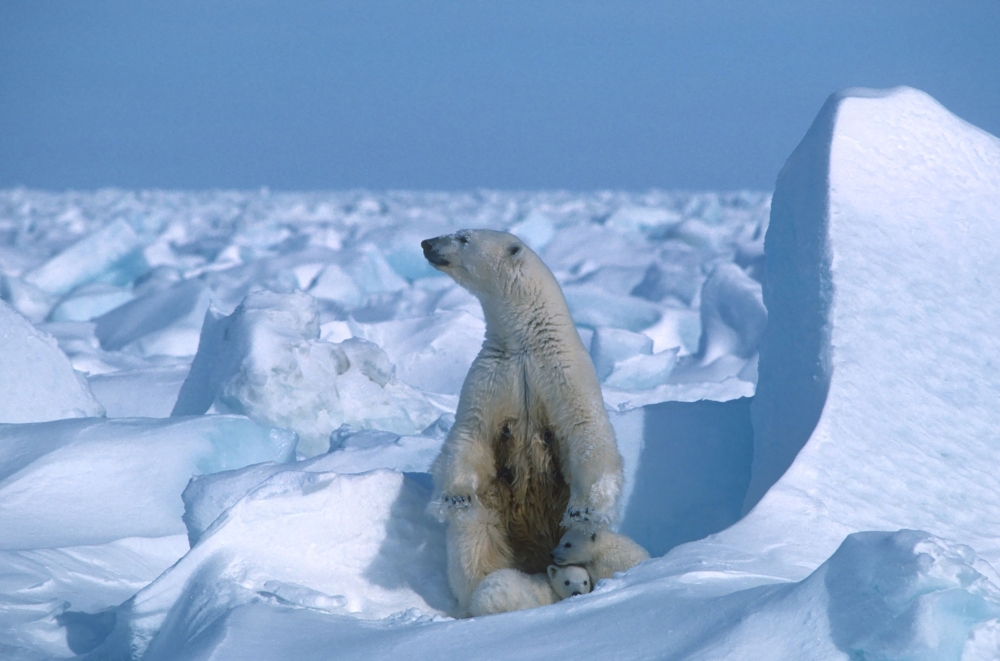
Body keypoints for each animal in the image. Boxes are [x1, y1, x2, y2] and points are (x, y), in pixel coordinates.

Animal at [421, 229, 625, 613]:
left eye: (463, 237)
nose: (427, 243)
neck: (525, 341)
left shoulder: (563, 373)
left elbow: (586, 431)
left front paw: (583, 508)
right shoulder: (492, 376)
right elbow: (470, 434)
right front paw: (456, 496)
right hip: (494, 513)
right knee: (474, 540)